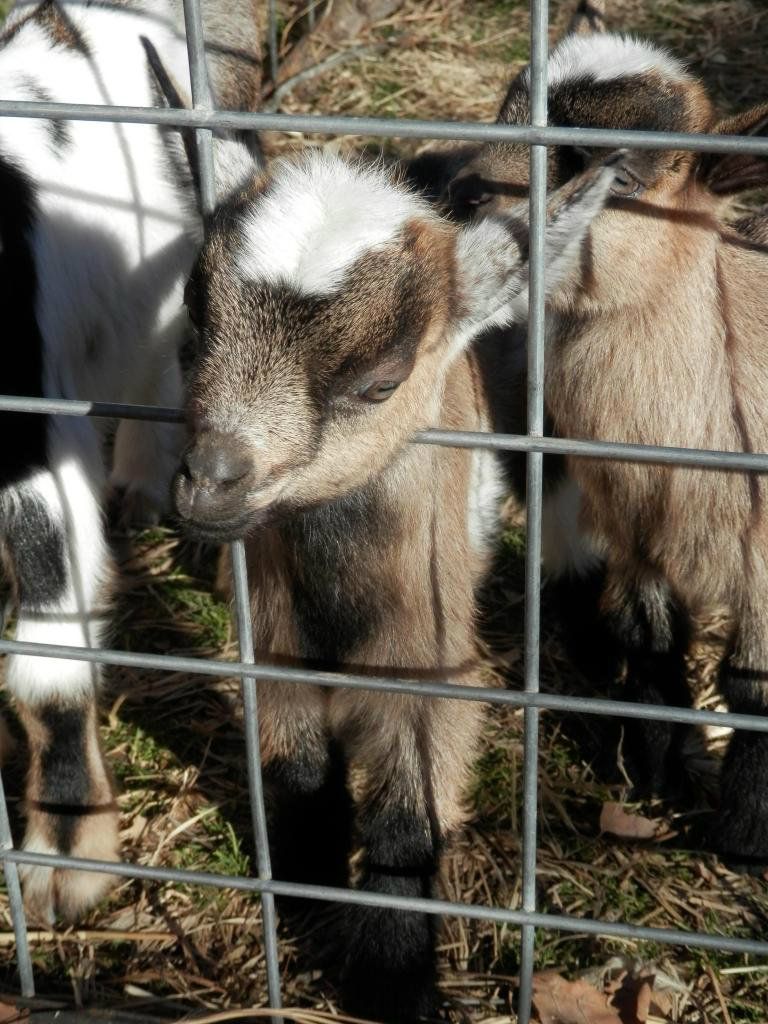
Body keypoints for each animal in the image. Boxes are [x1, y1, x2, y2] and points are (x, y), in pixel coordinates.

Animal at [171, 147, 621, 1020]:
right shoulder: (273, 642)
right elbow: (296, 771)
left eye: (380, 382)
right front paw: (304, 890)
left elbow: (407, 818)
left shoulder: (432, 661)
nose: (210, 481)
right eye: (193, 322)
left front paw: (389, 980)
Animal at [442, 29, 768, 869]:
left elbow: (755, 687)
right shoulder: (634, 529)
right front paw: (651, 776)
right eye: (506, 114)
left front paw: (741, 843)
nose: (459, 192)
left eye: (617, 174)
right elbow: (648, 643)